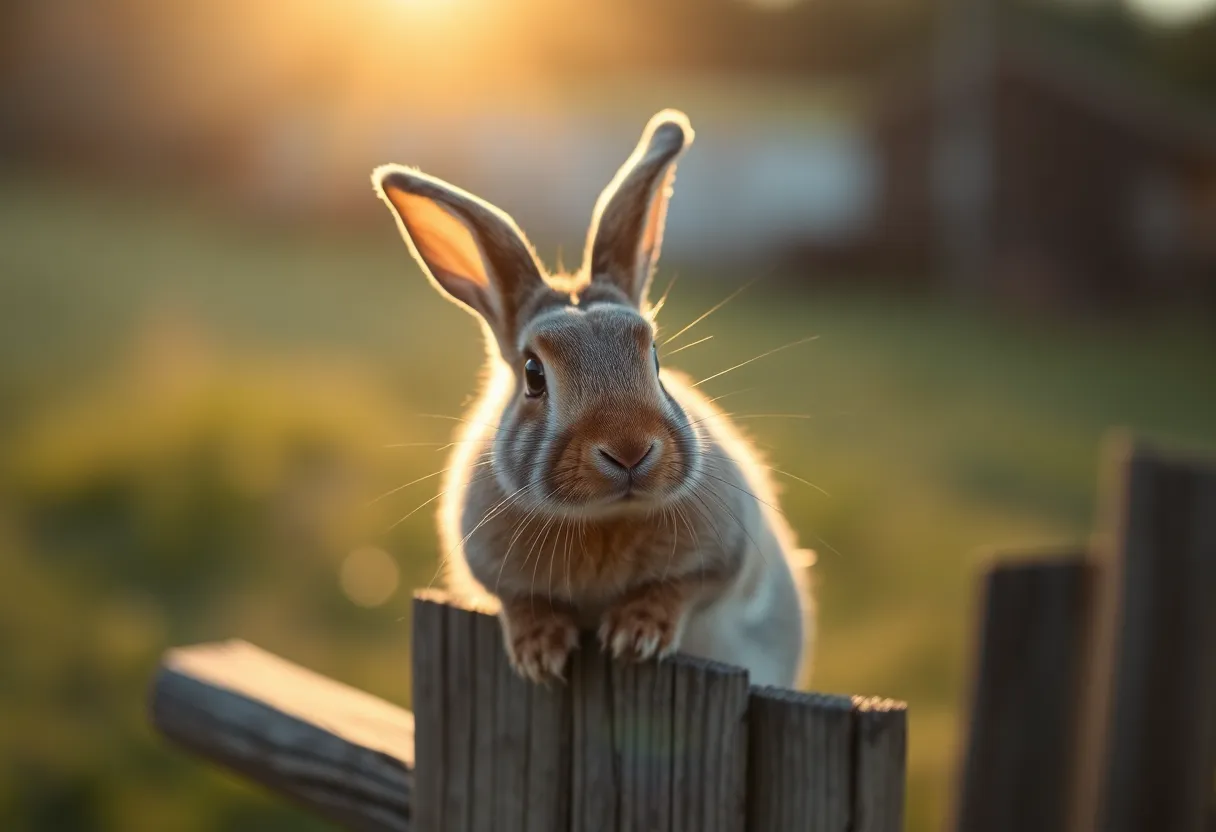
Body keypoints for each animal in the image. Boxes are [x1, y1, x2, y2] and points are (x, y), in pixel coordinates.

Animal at [372, 109, 814, 689]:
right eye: (534, 374)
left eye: (655, 357)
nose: (629, 450)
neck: (605, 518)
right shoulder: (497, 576)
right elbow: (522, 603)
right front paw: (540, 653)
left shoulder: (722, 562)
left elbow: (679, 589)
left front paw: (636, 635)